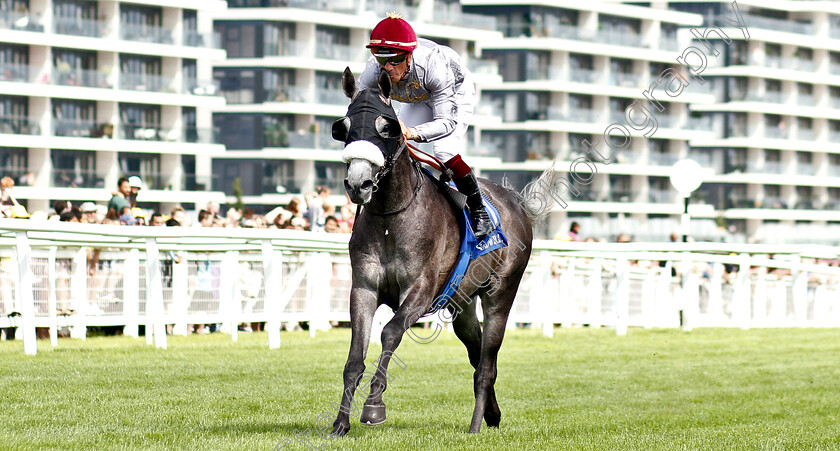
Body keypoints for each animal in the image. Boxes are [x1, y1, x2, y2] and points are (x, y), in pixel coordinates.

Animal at [332, 68, 556, 438]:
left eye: (387, 127)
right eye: (344, 128)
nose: (358, 184)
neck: (391, 217)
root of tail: (517, 203)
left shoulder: (421, 291)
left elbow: (390, 332)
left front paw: (375, 406)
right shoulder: (363, 289)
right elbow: (353, 358)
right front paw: (339, 423)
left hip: (500, 294)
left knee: (487, 364)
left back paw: (477, 425)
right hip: (462, 304)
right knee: (477, 355)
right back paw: (492, 414)